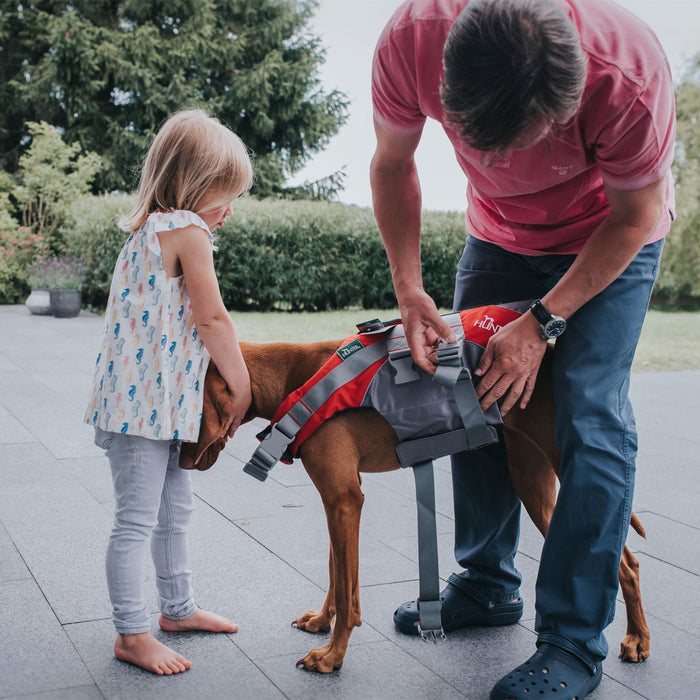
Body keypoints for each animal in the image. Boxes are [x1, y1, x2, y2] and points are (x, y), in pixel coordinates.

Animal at [182, 340, 652, 672]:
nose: (181, 460)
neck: (293, 375)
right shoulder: (339, 499)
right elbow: (337, 573)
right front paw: (321, 621)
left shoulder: (344, 500)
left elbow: (349, 595)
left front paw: (332, 657)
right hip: (531, 480)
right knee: (627, 560)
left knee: (622, 561)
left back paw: (637, 640)